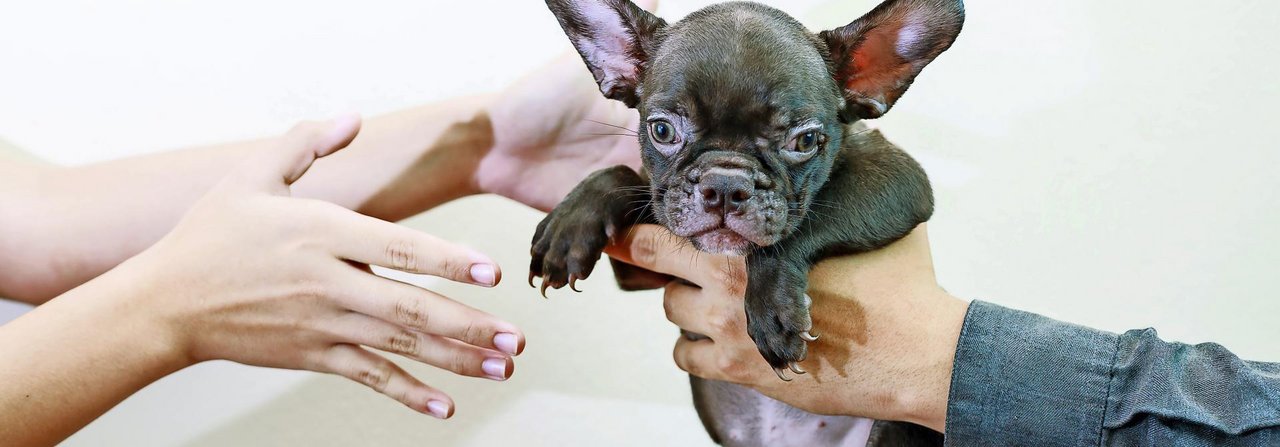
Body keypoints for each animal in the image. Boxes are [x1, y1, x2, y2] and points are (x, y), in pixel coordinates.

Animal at [527, 0, 962, 443]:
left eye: (805, 141)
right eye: (662, 130)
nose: (725, 184)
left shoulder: (897, 179)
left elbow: (800, 227)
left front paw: (772, 306)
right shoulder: (642, 267)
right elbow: (623, 176)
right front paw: (568, 226)